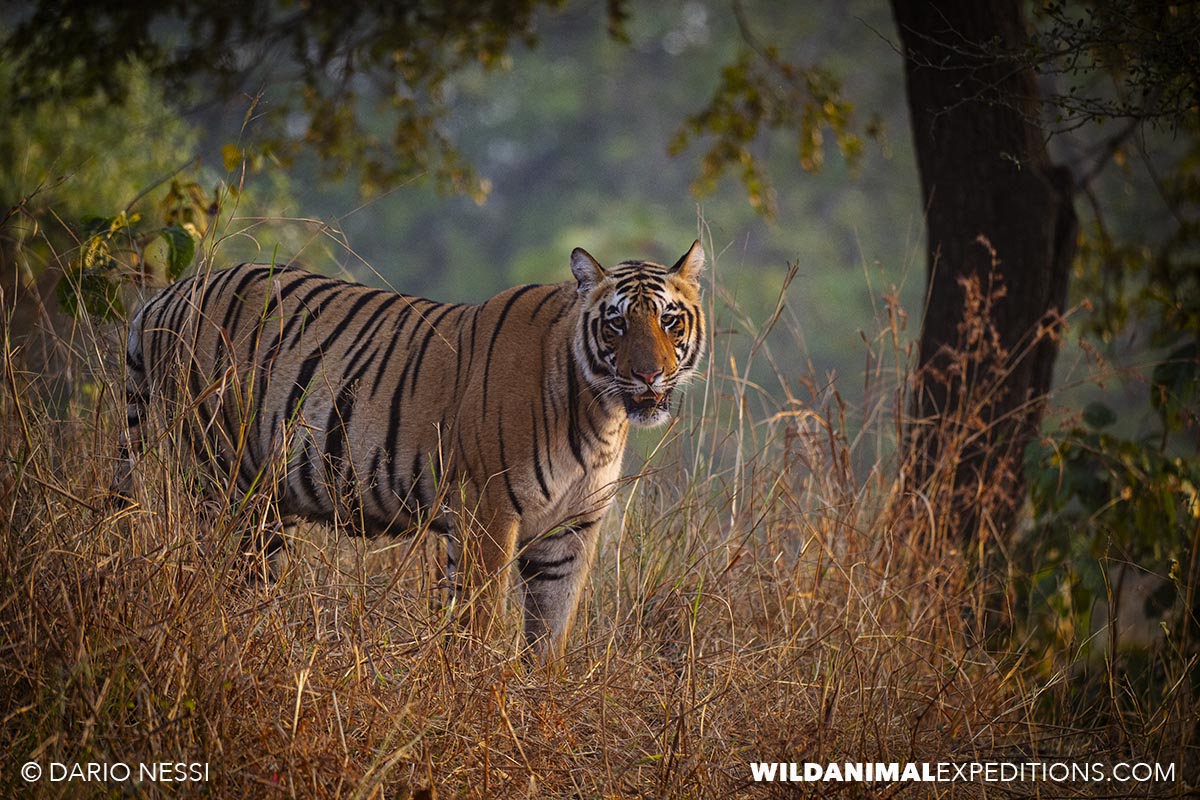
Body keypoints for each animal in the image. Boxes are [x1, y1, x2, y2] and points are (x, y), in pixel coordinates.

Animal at [113, 241, 706, 659]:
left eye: (669, 320)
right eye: (616, 323)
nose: (649, 374)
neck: (600, 414)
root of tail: (168, 294)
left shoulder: (570, 531)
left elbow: (548, 642)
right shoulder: (489, 511)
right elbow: (479, 622)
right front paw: (477, 701)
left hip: (268, 502)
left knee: (251, 581)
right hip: (220, 475)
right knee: (208, 569)